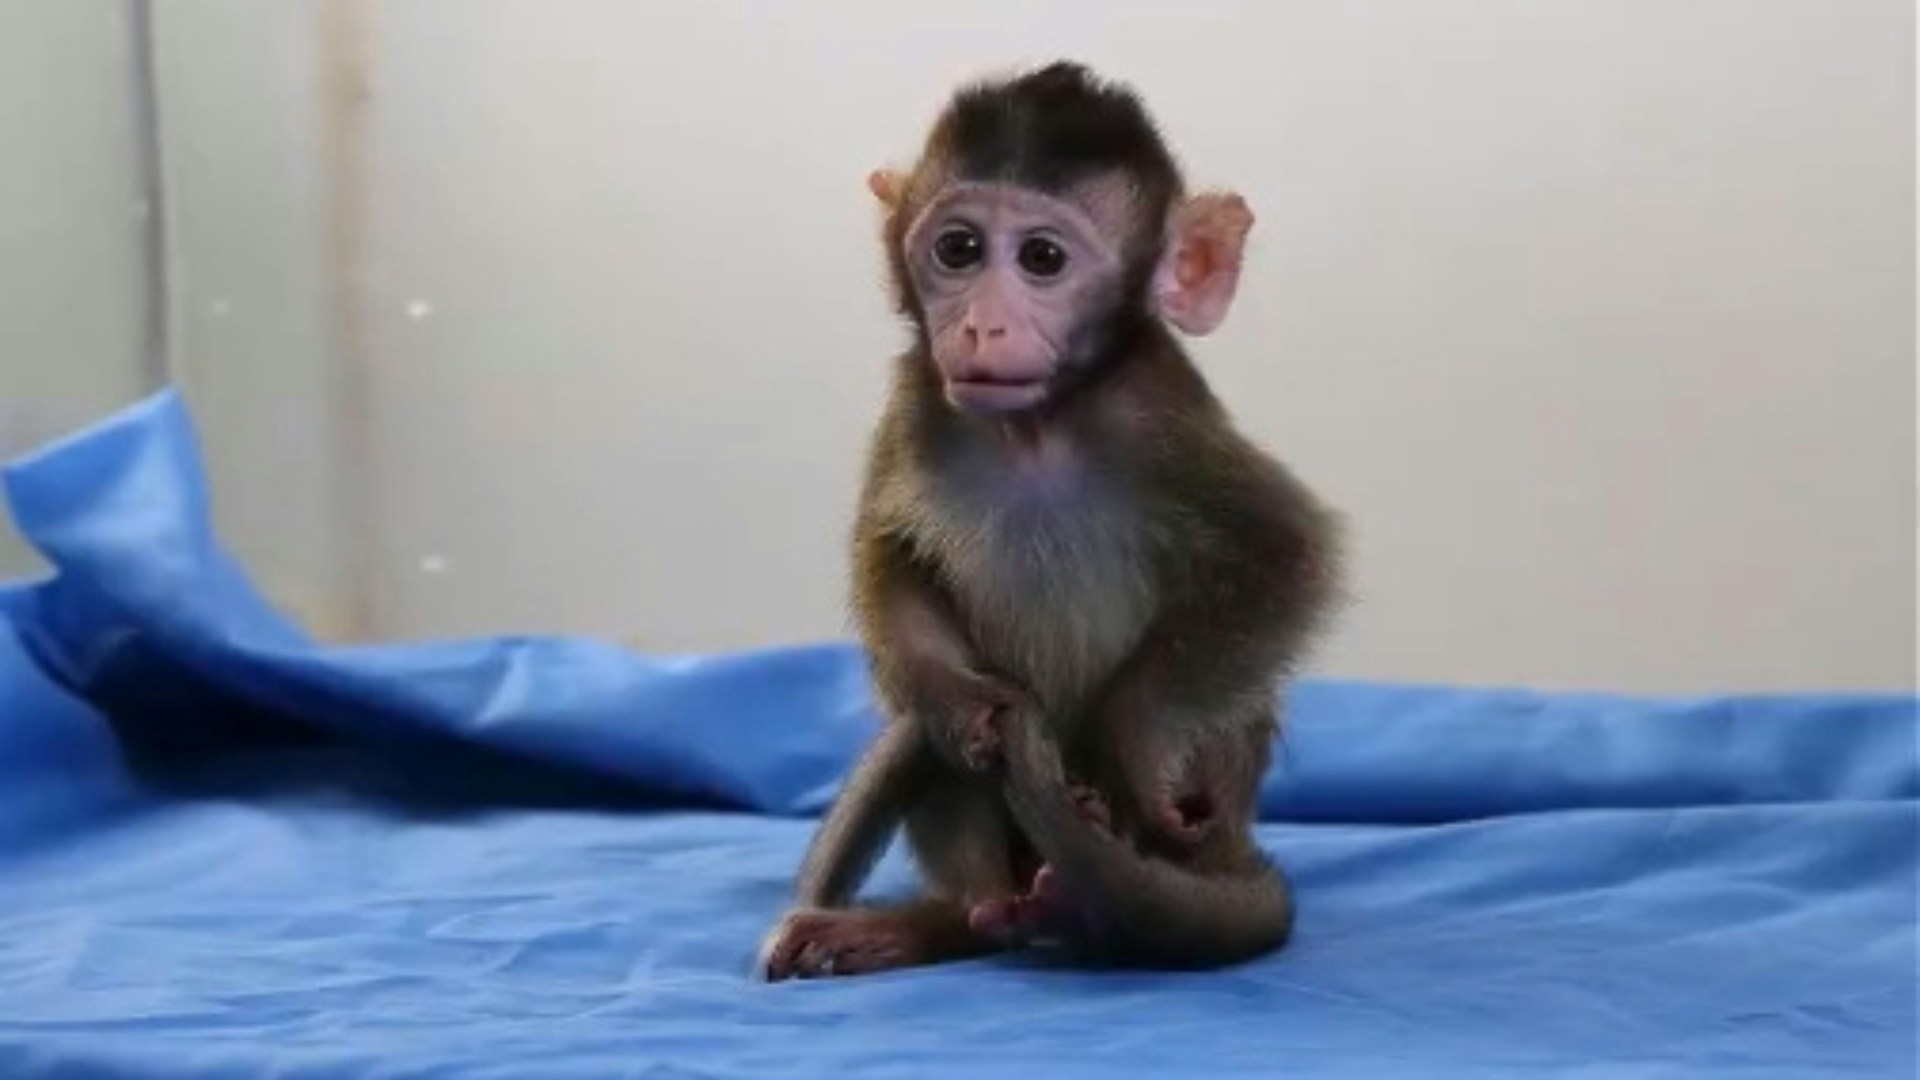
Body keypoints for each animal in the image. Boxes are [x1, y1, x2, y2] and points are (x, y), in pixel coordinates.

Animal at [758, 60, 1341, 980]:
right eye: (958, 249)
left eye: (1042, 258)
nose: (982, 324)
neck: (1035, 425)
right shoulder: (915, 404)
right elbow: (891, 556)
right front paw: (957, 697)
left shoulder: (1157, 417)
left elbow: (1285, 555)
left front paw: (1128, 744)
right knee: (923, 760)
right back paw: (944, 921)